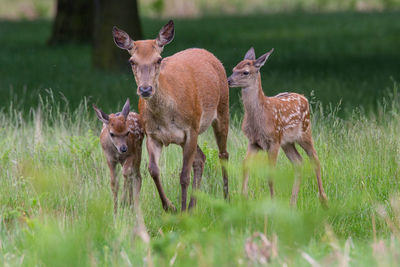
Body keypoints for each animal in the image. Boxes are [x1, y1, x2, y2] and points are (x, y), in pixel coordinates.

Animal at [114, 20, 230, 214]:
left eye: (158, 59)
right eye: (132, 61)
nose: (145, 89)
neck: (166, 116)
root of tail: (208, 53)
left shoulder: (191, 129)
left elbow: (183, 176)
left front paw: (181, 211)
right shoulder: (152, 134)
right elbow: (153, 170)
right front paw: (170, 206)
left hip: (222, 109)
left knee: (223, 155)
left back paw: (227, 198)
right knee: (201, 159)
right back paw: (192, 206)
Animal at [228, 48, 328, 207]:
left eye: (245, 72)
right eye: (233, 69)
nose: (228, 80)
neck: (260, 118)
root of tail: (304, 97)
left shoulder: (273, 140)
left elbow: (271, 174)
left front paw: (272, 204)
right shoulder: (253, 142)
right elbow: (245, 165)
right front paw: (244, 198)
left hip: (305, 132)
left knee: (315, 159)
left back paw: (324, 200)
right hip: (287, 142)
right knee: (299, 162)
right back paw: (292, 203)